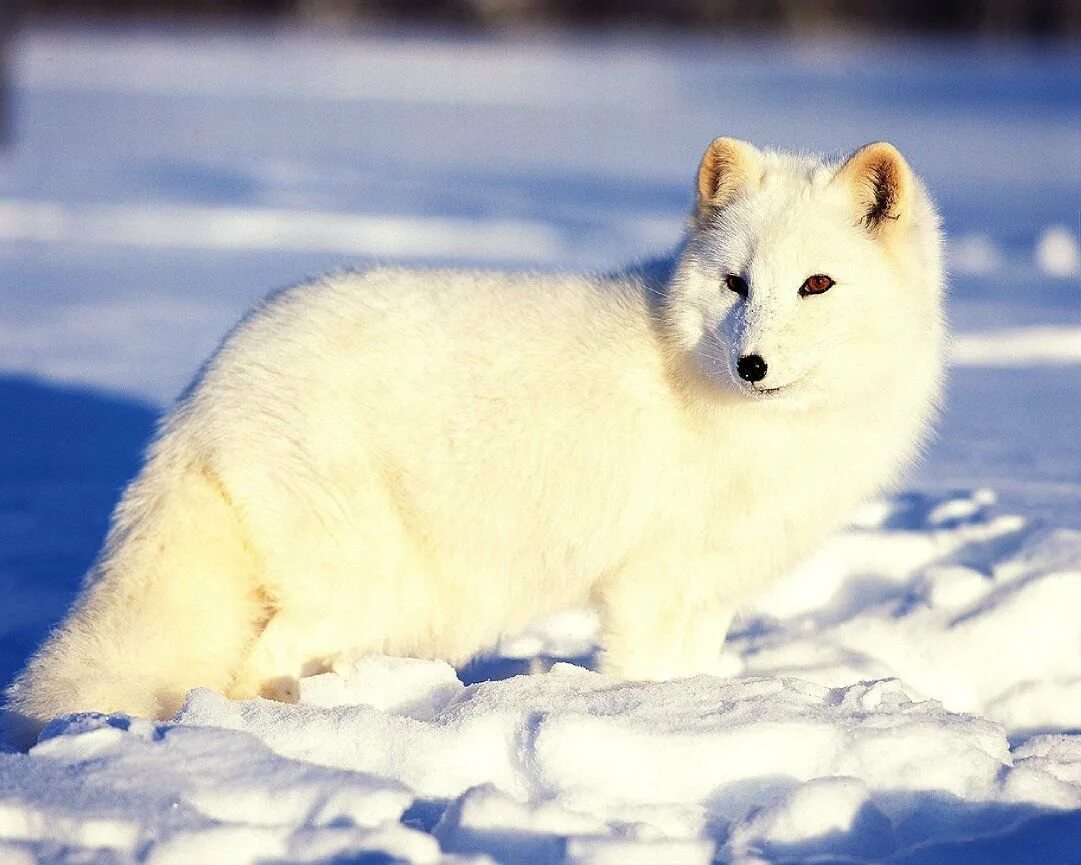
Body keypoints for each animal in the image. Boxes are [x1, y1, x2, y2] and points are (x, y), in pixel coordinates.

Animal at [4, 138, 942, 739]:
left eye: (816, 284)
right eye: (735, 283)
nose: (751, 363)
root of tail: (207, 384)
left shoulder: (709, 587)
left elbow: (691, 666)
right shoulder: (649, 583)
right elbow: (643, 673)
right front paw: (657, 722)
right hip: (363, 583)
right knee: (250, 666)